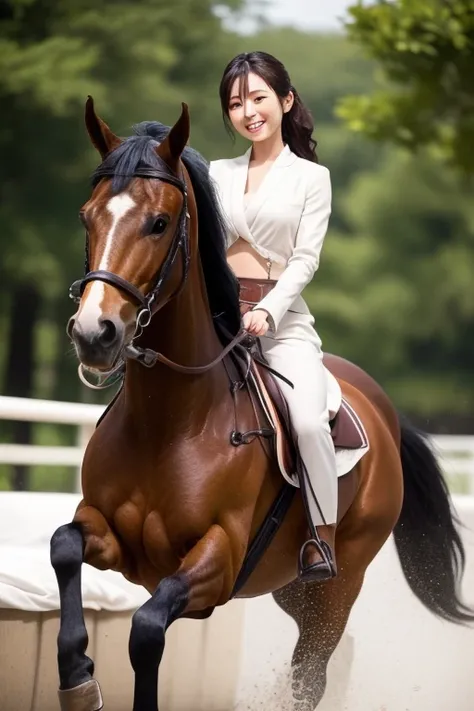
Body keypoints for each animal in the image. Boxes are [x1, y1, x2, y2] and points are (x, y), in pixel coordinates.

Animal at [50, 100, 472, 711]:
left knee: (312, 671)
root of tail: (382, 410)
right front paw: (78, 677)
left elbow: (147, 629)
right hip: (290, 588)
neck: (170, 421)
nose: (93, 333)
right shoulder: (108, 536)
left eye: (158, 223)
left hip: (336, 585)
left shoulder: (216, 564)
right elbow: (63, 547)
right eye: (87, 217)